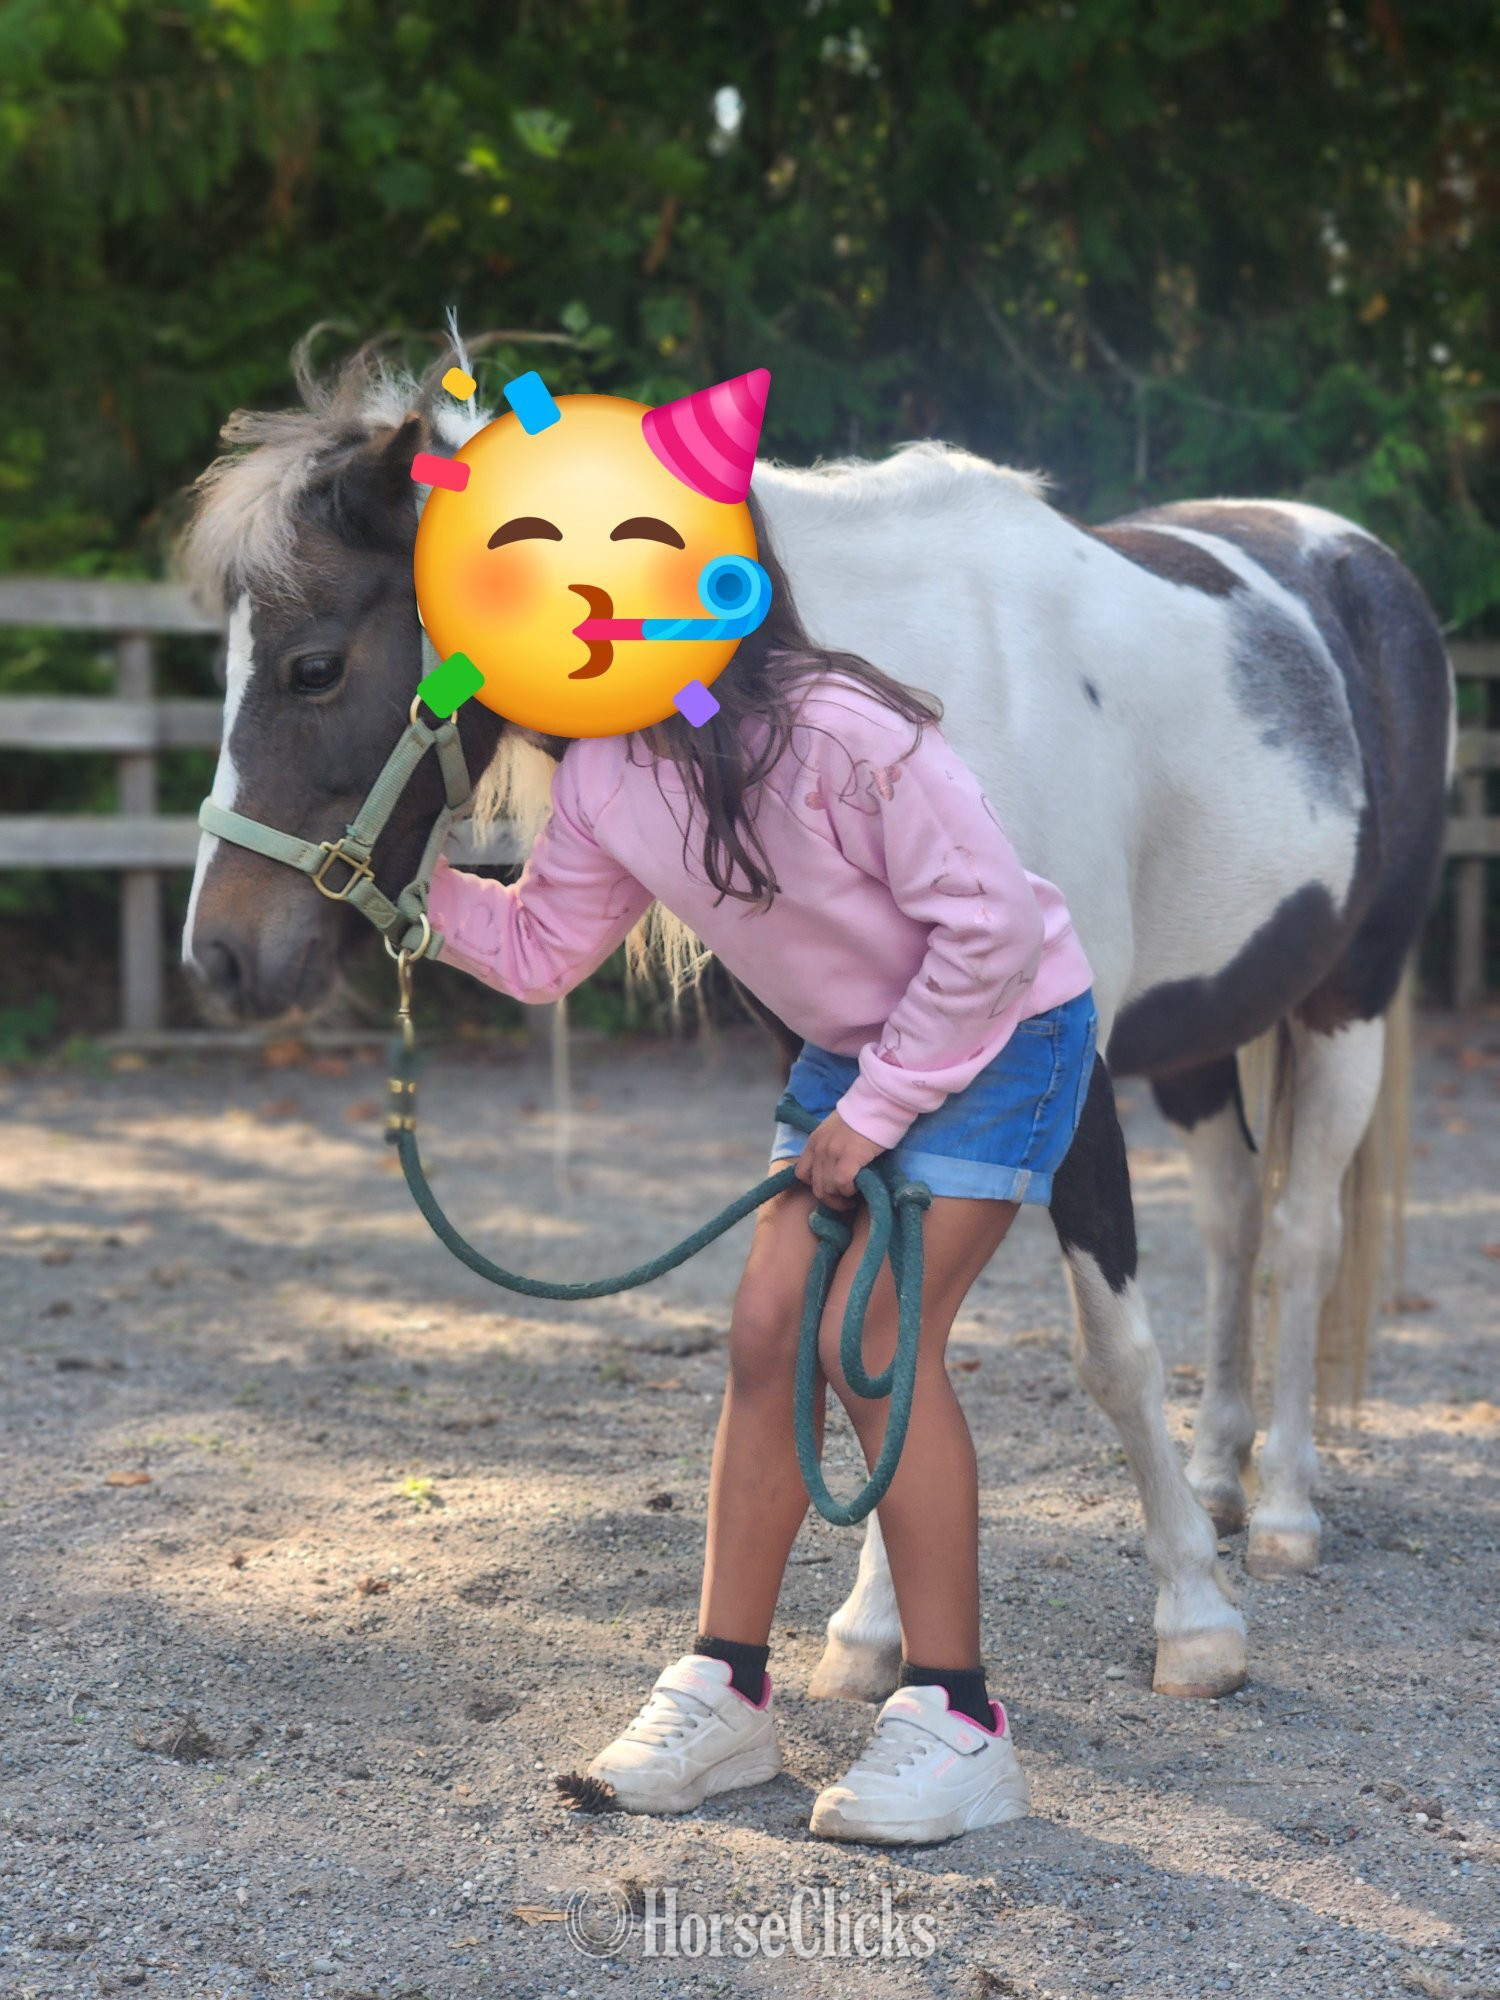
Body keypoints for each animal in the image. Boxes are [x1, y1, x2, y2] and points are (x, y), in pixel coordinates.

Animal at [179, 339, 1454, 1706]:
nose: (221, 955)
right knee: (1230, 1222)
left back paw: (1283, 1510)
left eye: (316, 664)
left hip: (1347, 1003)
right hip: (1205, 1033)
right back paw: (1219, 1475)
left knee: (1305, 1236)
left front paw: (1194, 1618)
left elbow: (1105, 1344)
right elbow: (887, 1345)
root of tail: (1351, 558)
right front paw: (872, 1631)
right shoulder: (859, 1086)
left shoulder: (1068, 1074)